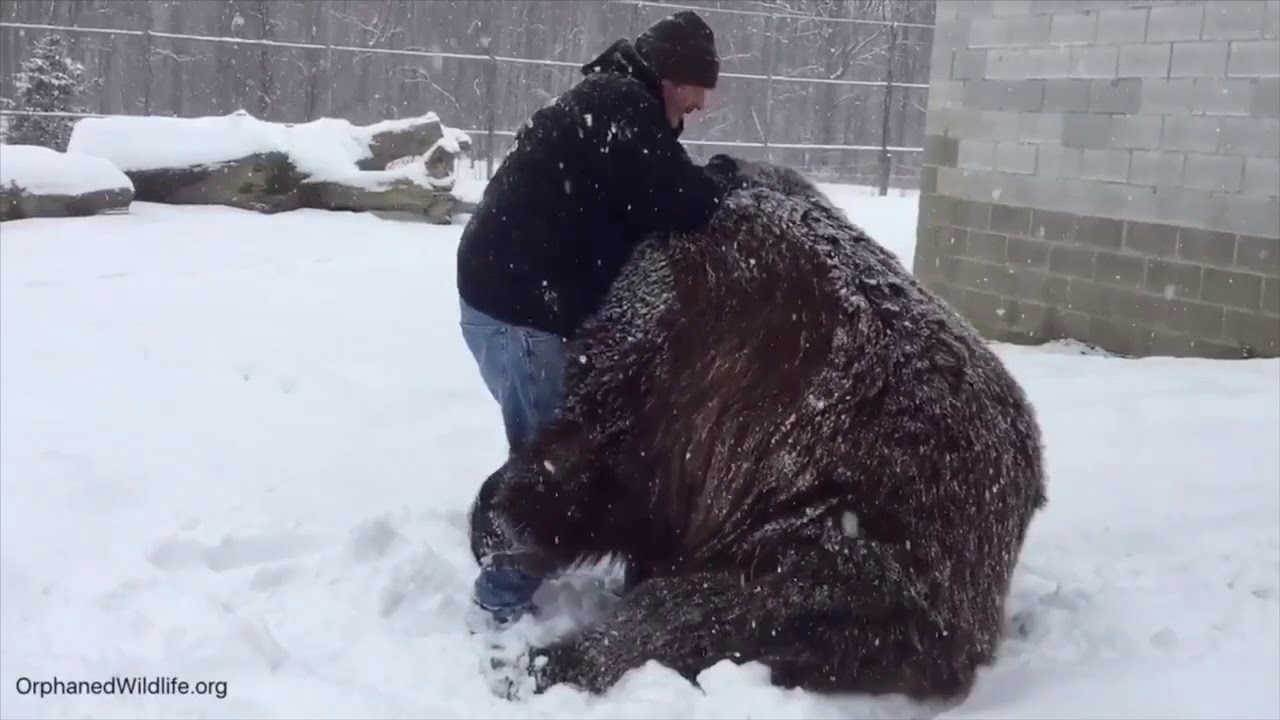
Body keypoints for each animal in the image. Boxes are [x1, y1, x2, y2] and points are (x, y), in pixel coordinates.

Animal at [467, 157, 1048, 702]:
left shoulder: (668, 362)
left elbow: (595, 462)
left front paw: (496, 524)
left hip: (840, 550)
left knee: (698, 615)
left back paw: (540, 666)